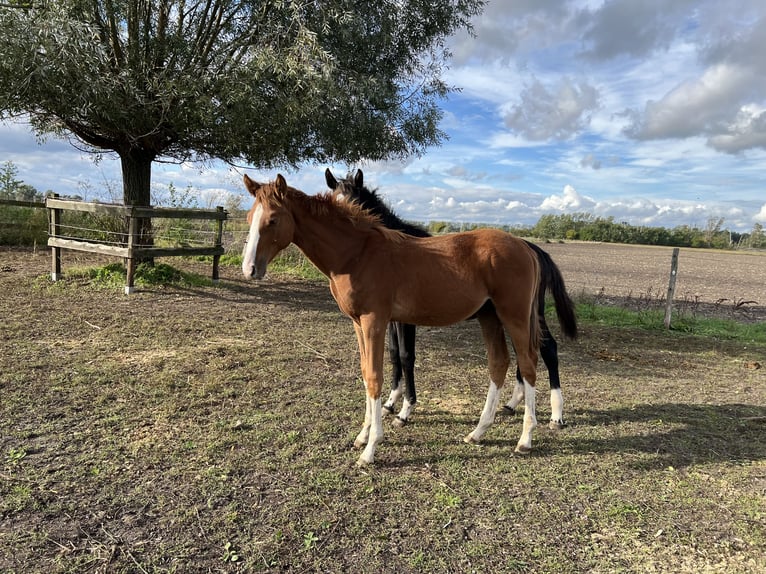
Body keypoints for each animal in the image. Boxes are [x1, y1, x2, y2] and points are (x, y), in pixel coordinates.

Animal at [243, 176, 544, 468]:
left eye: (273, 219)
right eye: (249, 218)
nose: (250, 269)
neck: (357, 255)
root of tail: (525, 247)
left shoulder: (374, 321)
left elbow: (376, 376)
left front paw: (371, 448)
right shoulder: (358, 323)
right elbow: (366, 373)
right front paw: (363, 435)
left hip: (514, 316)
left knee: (528, 364)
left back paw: (525, 439)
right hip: (489, 316)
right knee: (499, 363)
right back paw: (478, 432)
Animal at [328, 169, 580, 430]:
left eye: (357, 204)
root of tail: (533, 250)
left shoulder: (405, 320)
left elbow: (407, 356)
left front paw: (405, 411)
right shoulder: (389, 318)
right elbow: (393, 352)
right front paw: (390, 403)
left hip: (526, 313)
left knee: (547, 348)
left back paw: (556, 416)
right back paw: (512, 404)